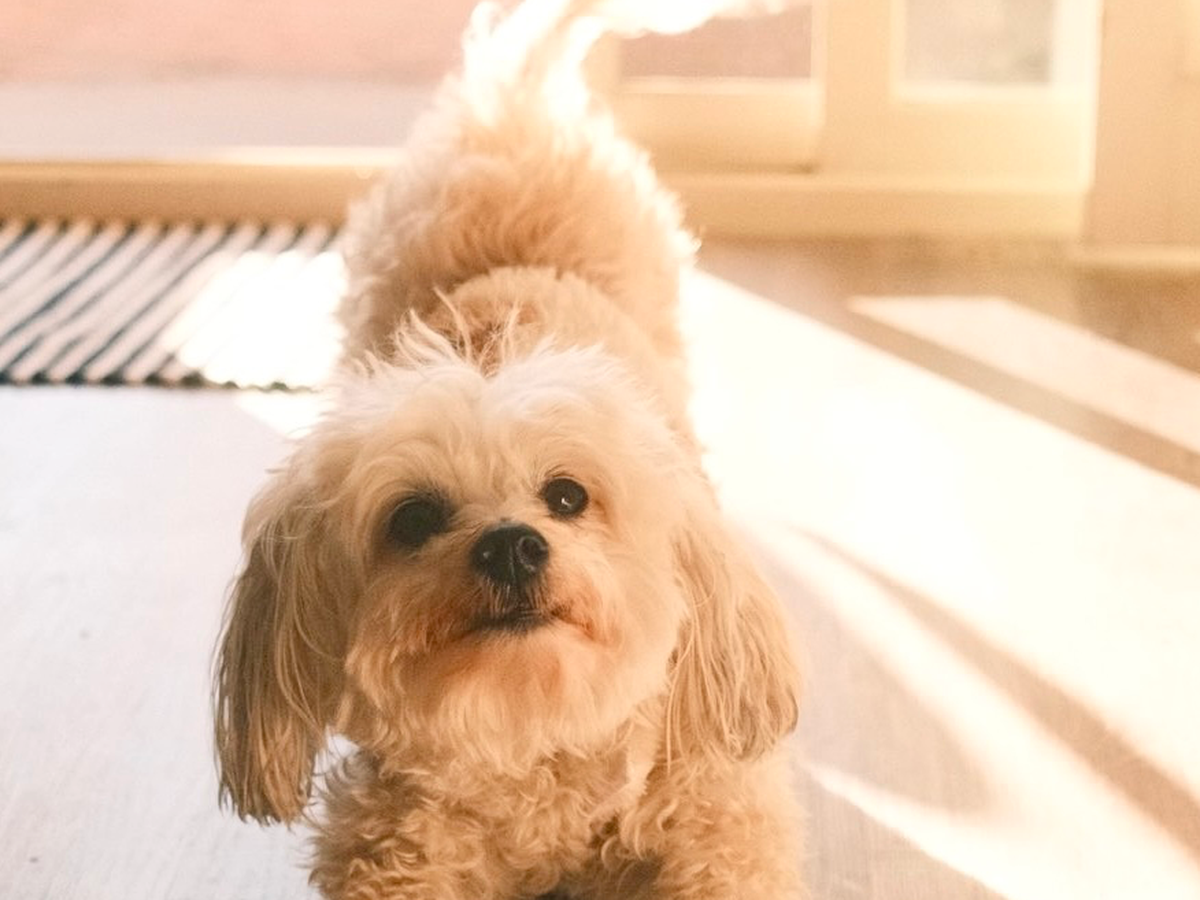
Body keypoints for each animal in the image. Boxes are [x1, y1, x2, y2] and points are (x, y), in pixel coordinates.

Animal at [213, 1, 805, 897]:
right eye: (413, 518)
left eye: (567, 495)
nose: (511, 547)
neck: (531, 742)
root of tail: (513, 101)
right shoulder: (400, 843)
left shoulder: (716, 814)